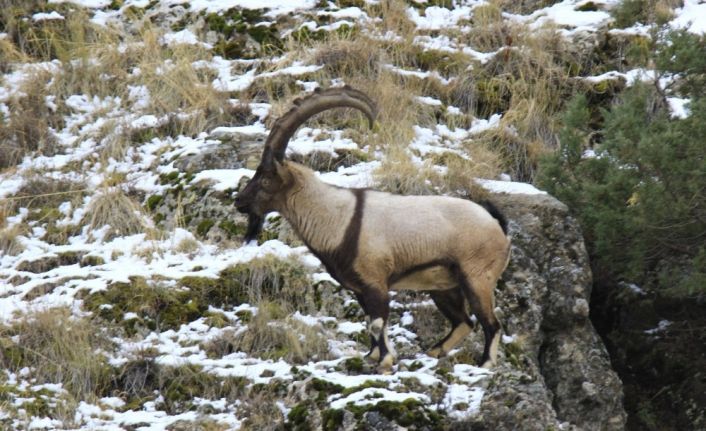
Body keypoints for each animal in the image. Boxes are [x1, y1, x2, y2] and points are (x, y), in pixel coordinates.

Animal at [234, 86, 508, 372]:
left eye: (266, 179)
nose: (239, 201)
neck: (338, 219)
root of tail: (497, 225)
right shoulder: (359, 288)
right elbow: (369, 323)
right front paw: (372, 356)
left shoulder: (375, 280)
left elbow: (377, 322)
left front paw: (385, 360)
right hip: (443, 286)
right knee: (464, 321)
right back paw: (435, 351)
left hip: (477, 278)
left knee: (491, 323)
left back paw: (485, 363)